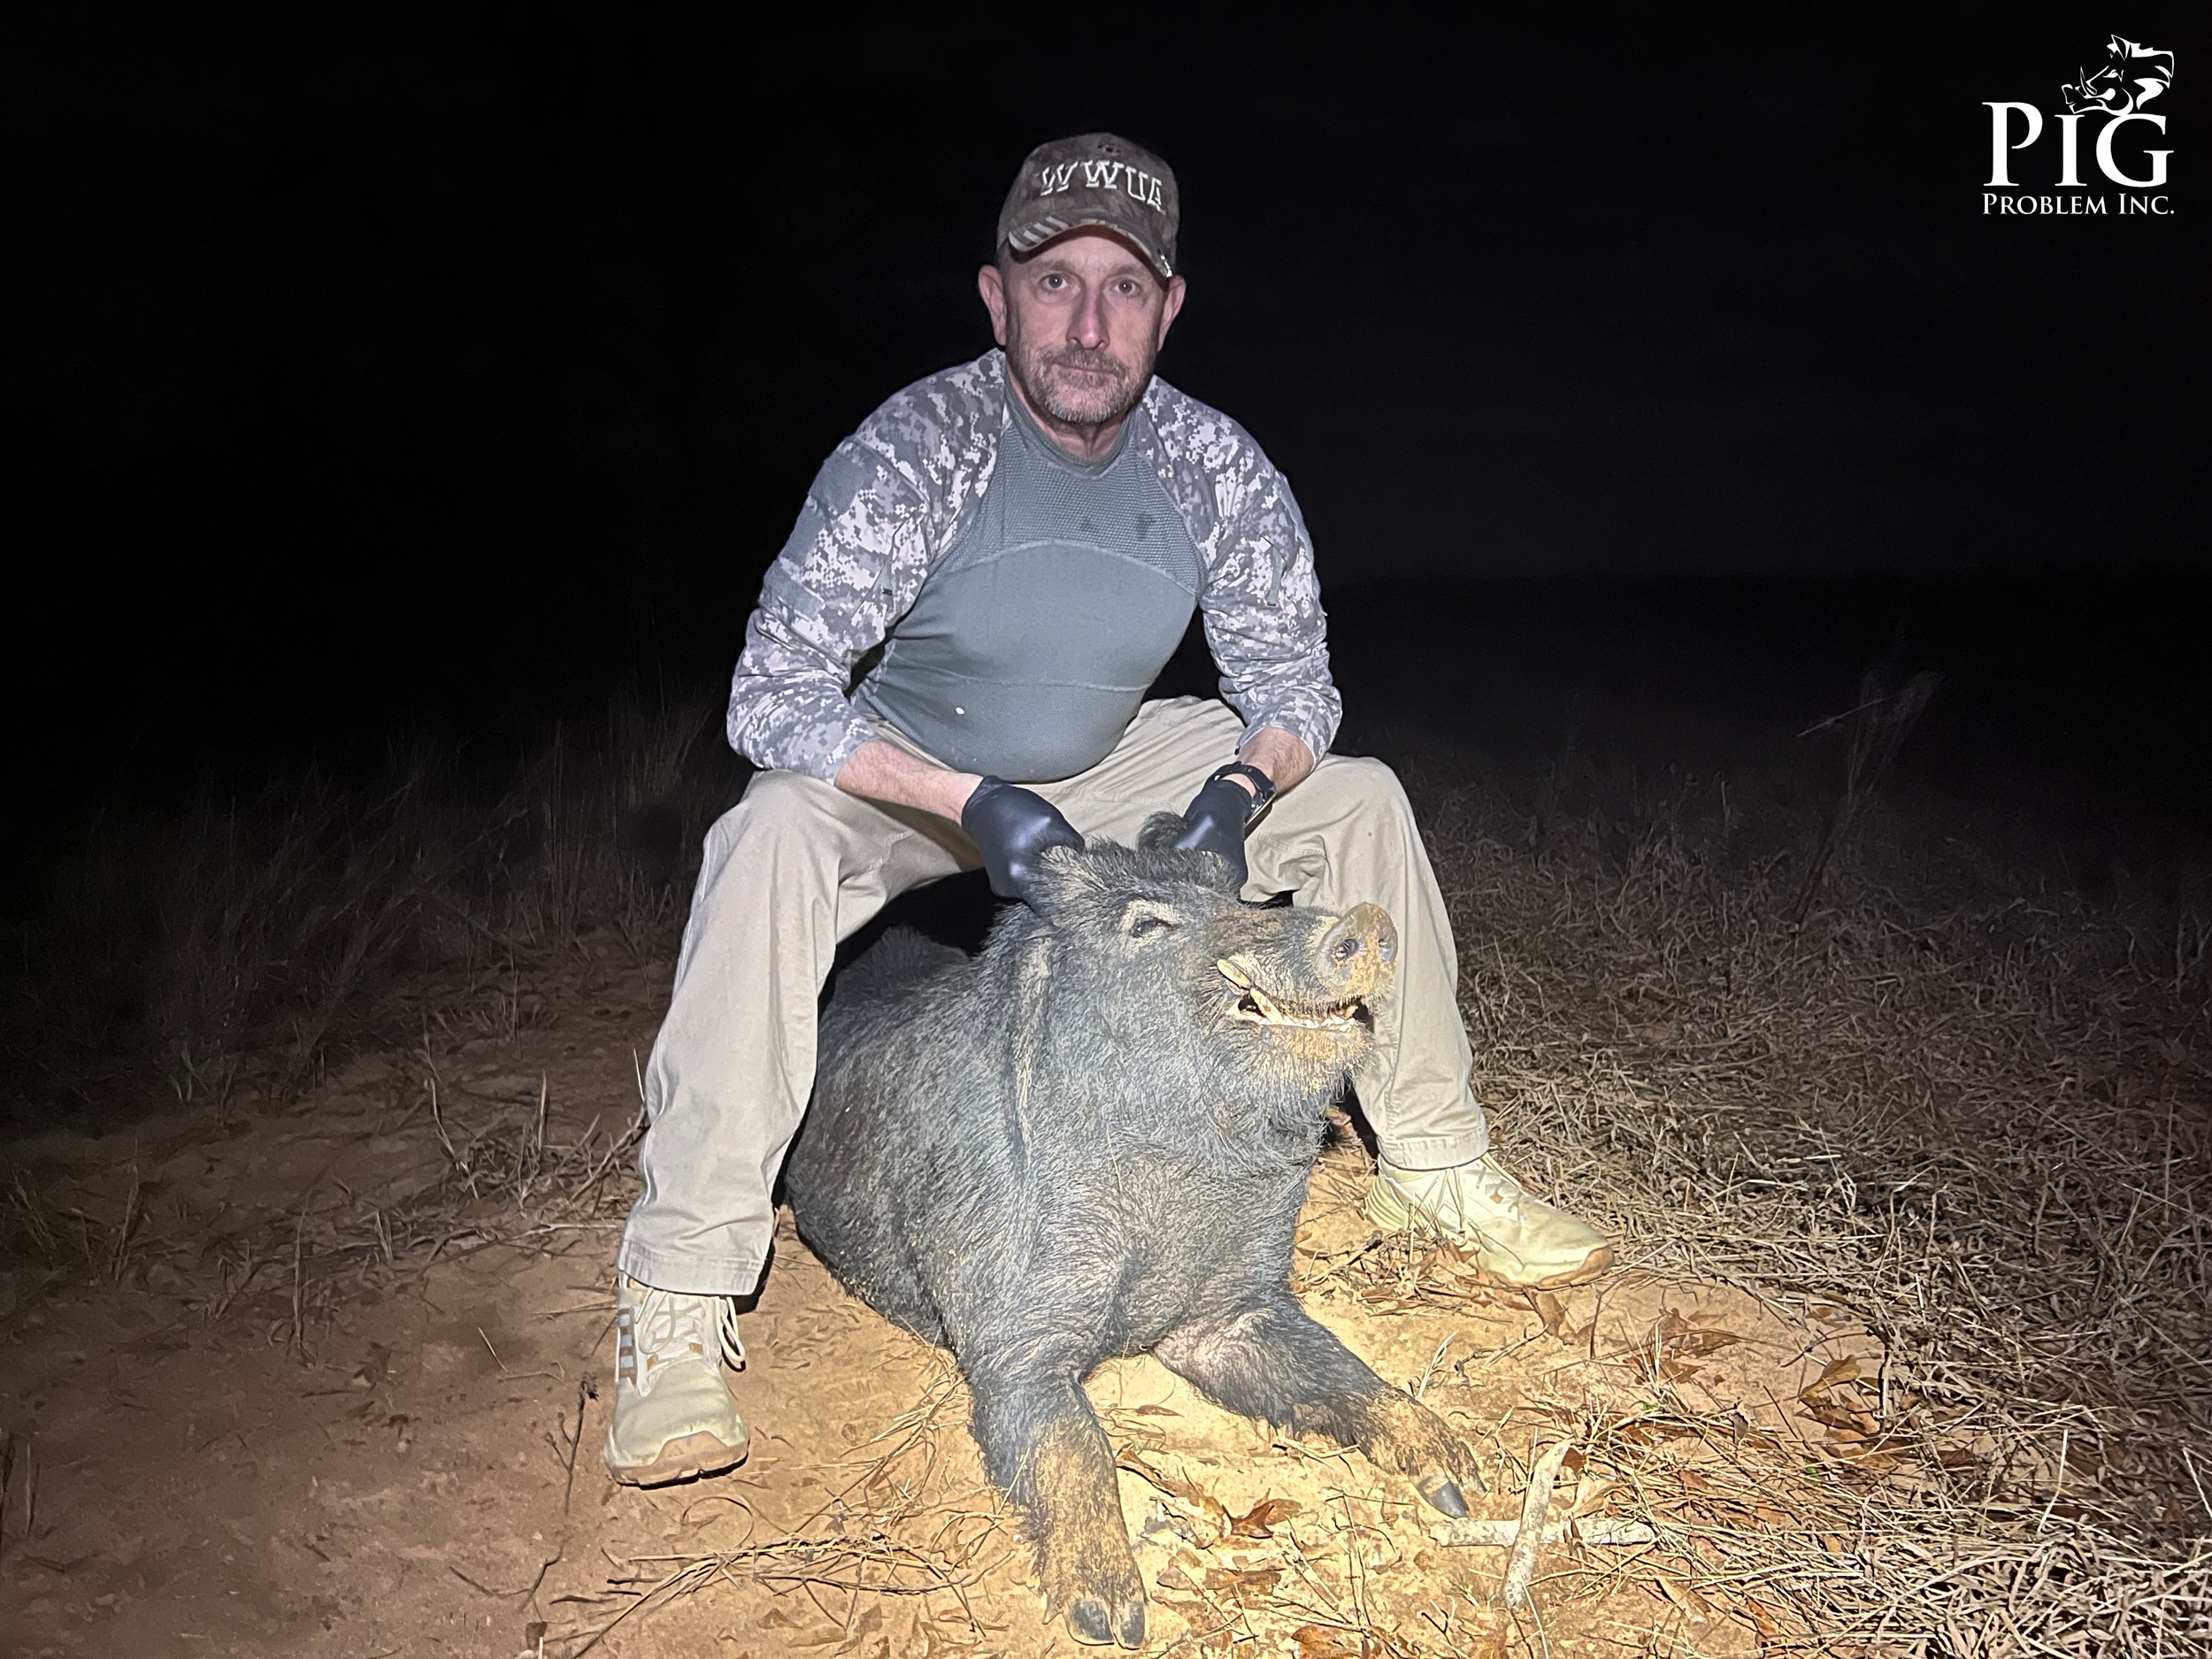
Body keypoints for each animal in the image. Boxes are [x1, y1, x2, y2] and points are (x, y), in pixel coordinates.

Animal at [783, 815, 1483, 1649]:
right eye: (1147, 925)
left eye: (1237, 892)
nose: (1371, 919)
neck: (1186, 1175)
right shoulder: (1006, 1334)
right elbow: (1074, 1445)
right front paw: (1113, 1620)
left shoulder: (1230, 1314)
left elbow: (1338, 1366)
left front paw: (1465, 1484)